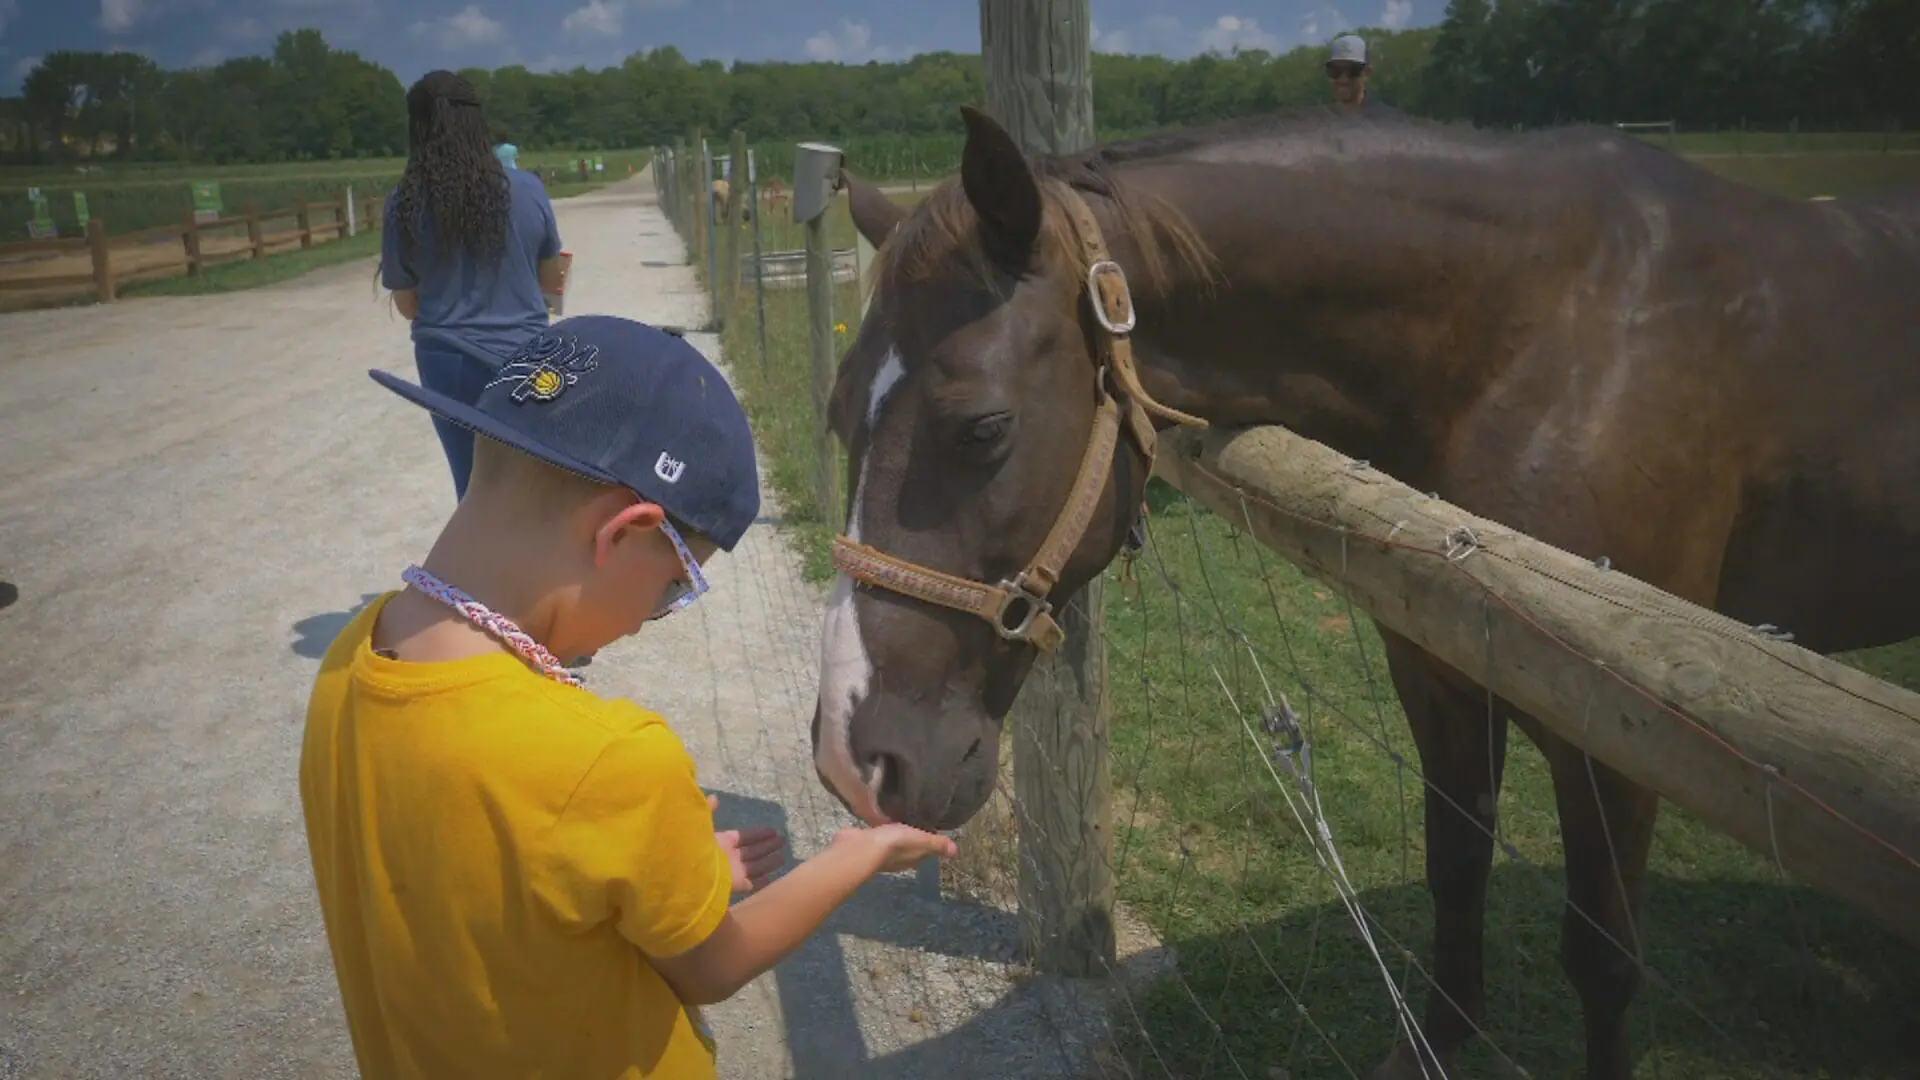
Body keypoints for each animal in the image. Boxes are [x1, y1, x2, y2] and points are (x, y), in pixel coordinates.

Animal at [806, 102, 1920, 1076]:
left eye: (983, 427)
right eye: (838, 413)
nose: (856, 759)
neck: (1558, 333)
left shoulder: (1616, 735)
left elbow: (1603, 959)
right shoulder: (1438, 669)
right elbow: (1455, 864)